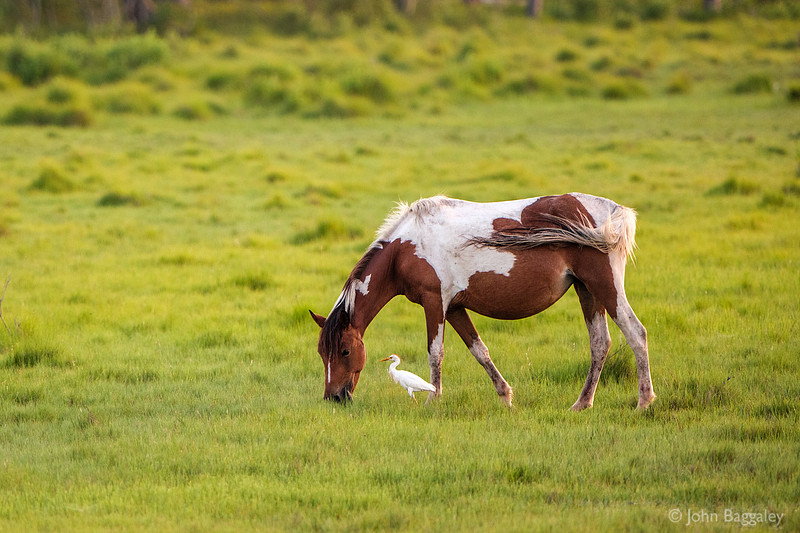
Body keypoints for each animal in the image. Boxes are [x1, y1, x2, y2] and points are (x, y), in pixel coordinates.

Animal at [310, 194, 655, 410]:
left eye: (345, 351)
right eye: (322, 353)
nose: (333, 398)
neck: (406, 248)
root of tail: (613, 210)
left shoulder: (435, 303)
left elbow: (435, 354)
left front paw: (433, 399)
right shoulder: (455, 307)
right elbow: (479, 350)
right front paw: (505, 396)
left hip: (605, 286)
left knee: (635, 333)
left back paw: (644, 401)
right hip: (587, 291)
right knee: (600, 343)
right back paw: (582, 403)